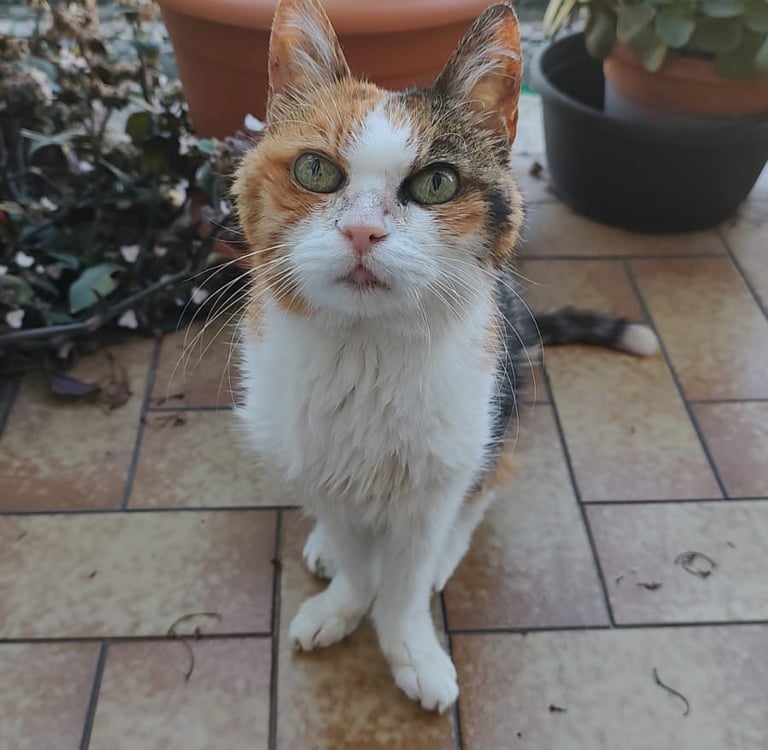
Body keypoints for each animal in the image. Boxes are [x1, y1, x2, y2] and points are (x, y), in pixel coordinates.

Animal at [233, 0, 658, 713]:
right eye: (315, 171)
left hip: (500, 414)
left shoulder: (441, 472)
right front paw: (342, 602)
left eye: (437, 183)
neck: (366, 357)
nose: (362, 231)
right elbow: (355, 555)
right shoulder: (313, 457)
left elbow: (405, 581)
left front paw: (411, 650)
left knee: (485, 488)